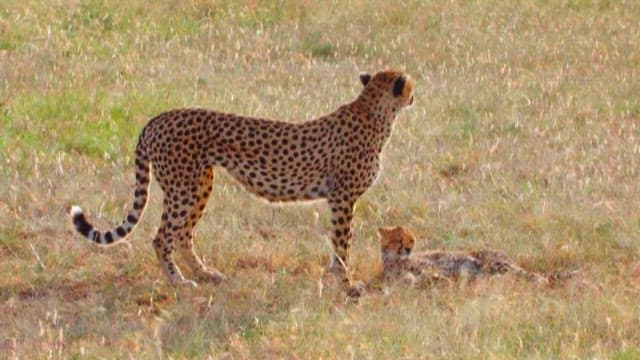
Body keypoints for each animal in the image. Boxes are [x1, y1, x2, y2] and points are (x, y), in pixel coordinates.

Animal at [70, 69, 418, 286]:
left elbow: (339, 244)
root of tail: (157, 119)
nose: (415, 95)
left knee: (183, 235)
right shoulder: (343, 198)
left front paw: (336, 277)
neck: (374, 112)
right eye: (410, 85)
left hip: (201, 183)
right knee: (162, 237)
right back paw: (178, 281)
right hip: (184, 187)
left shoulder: (338, 199)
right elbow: (343, 243)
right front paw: (346, 283)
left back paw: (206, 274)